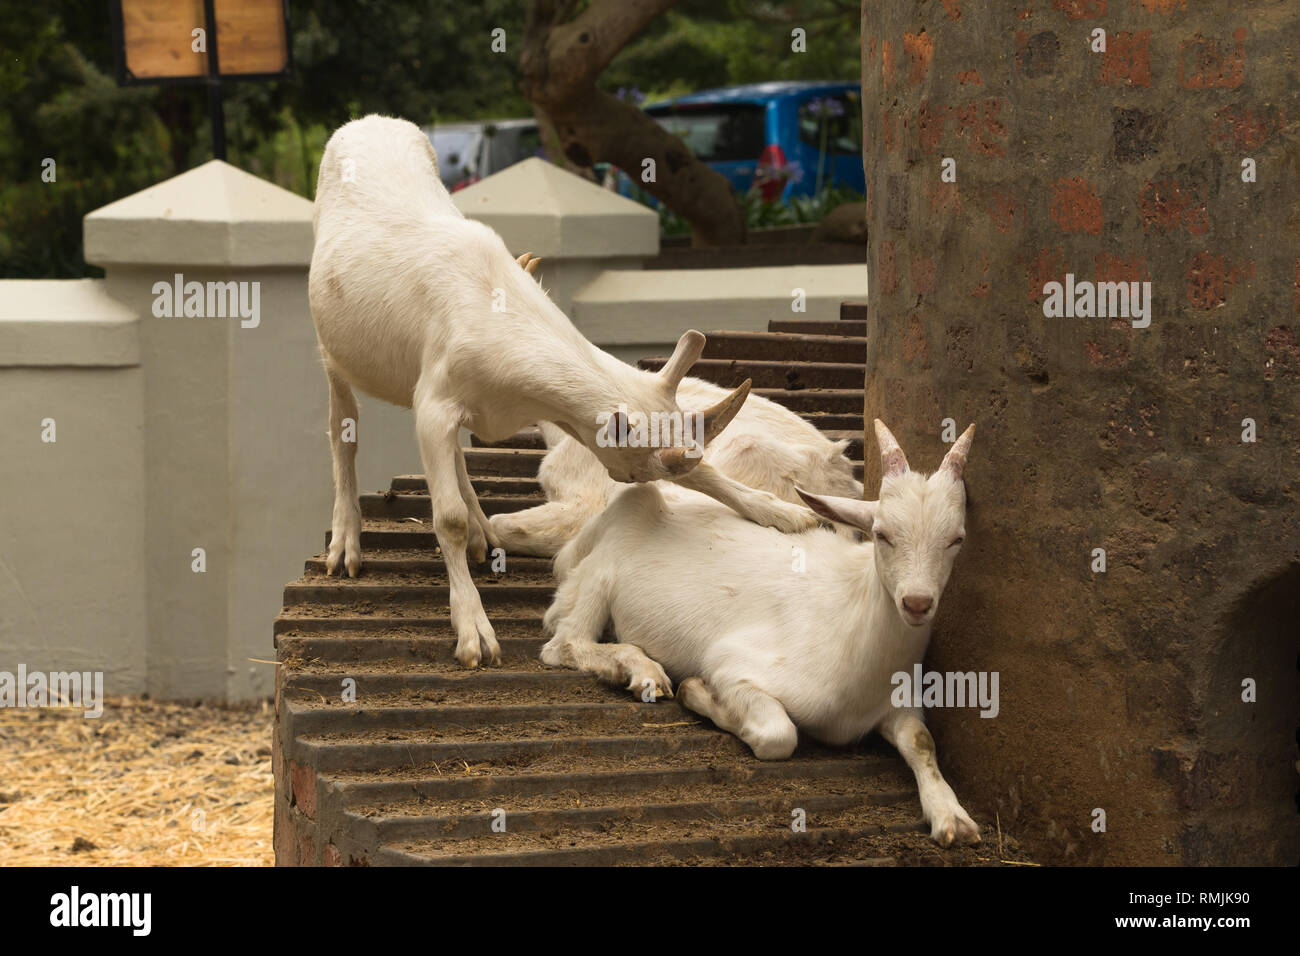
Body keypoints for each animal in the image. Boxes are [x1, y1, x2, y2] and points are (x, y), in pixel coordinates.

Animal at [306, 115, 811, 671]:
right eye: (640, 472)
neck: (498, 309)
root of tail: (366, 122)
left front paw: (782, 512)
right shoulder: (435, 403)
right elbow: (448, 517)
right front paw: (474, 633)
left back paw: (483, 532)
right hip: (330, 344)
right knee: (342, 426)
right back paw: (348, 541)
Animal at [538, 418, 977, 842]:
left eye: (957, 539)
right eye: (882, 534)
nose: (916, 603)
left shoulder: (899, 704)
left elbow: (922, 742)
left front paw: (952, 818)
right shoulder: (733, 664)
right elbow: (778, 734)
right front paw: (696, 692)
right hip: (600, 574)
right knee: (564, 642)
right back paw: (640, 670)